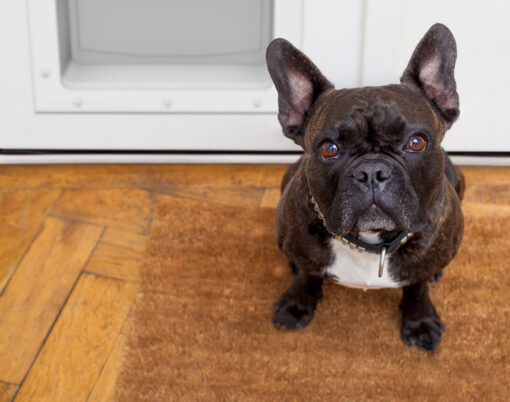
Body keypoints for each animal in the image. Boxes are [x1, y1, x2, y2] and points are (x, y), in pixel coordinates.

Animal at [266, 24, 466, 352]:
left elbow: (417, 288)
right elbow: (308, 276)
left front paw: (420, 321)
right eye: (329, 149)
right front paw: (297, 305)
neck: (371, 244)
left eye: (416, 142)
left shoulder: (420, 270)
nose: (372, 171)